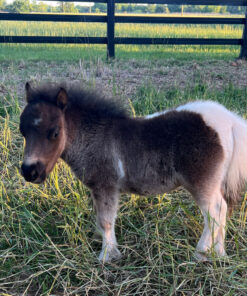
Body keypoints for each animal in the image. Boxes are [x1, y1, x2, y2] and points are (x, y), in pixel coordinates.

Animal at [20, 82, 247, 262]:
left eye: (55, 133)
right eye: (23, 131)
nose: (30, 172)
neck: (95, 137)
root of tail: (229, 121)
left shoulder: (105, 186)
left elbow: (106, 220)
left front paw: (106, 256)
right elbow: (101, 219)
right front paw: (101, 244)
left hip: (202, 184)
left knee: (214, 212)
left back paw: (201, 253)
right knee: (222, 210)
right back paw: (219, 253)